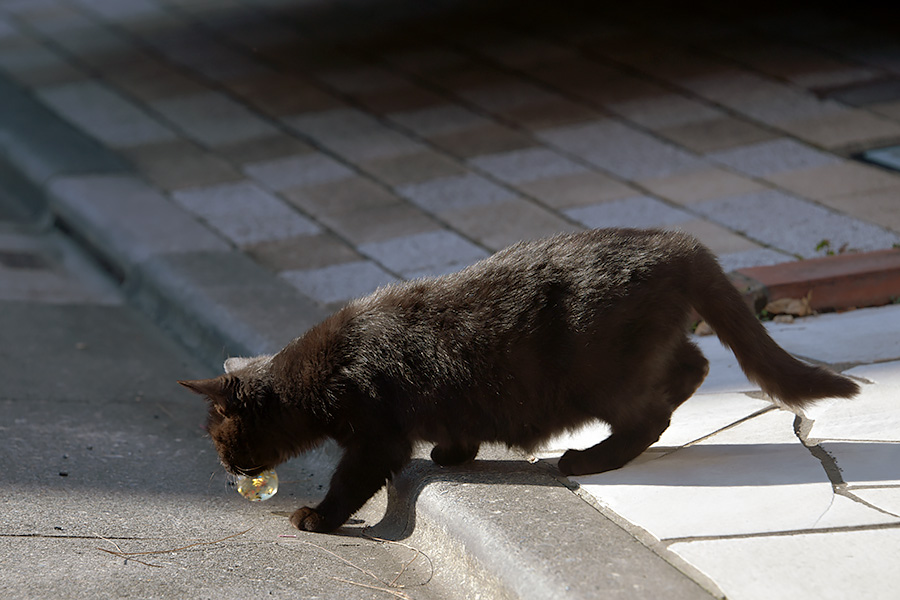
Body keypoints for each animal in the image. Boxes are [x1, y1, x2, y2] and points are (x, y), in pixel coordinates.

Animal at [178, 227, 856, 532]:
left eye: (218, 439)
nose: (226, 468)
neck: (316, 376)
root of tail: (675, 242)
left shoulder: (376, 436)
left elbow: (351, 481)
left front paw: (318, 518)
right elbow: (456, 430)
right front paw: (452, 455)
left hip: (602, 374)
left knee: (652, 411)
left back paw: (587, 459)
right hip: (648, 349)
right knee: (696, 365)